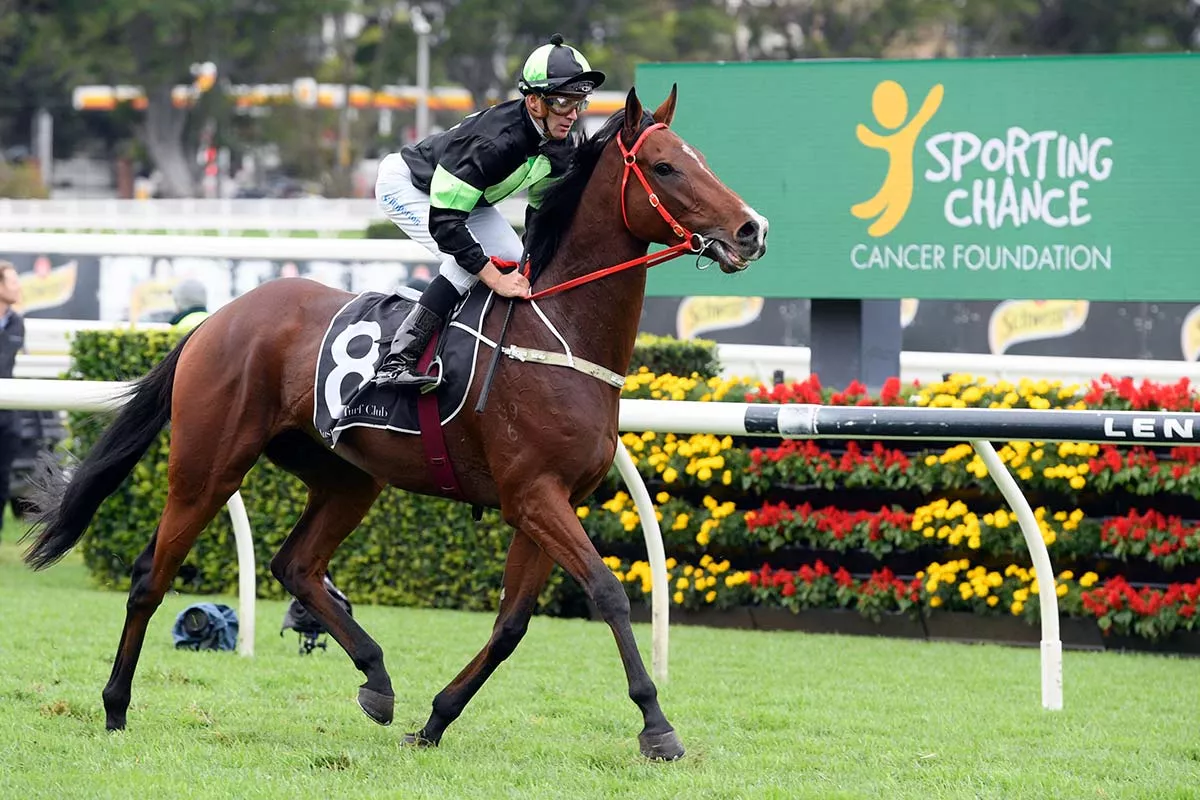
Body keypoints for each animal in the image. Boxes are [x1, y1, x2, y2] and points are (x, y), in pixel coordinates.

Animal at [21, 84, 768, 762]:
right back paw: (115, 705)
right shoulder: (533, 494)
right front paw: (657, 726)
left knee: (296, 566)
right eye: (666, 167)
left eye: (701, 160)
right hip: (207, 466)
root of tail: (215, 320)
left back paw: (376, 678)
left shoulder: (547, 501)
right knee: (152, 575)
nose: (751, 229)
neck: (557, 329)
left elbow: (511, 625)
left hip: (347, 475)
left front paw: (434, 721)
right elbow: (609, 593)